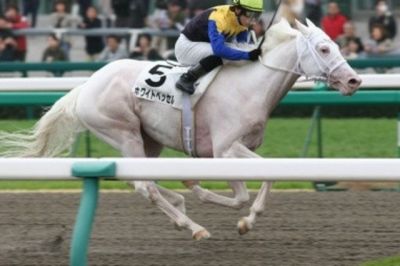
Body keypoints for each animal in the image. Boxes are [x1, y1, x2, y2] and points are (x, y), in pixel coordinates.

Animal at [0, 18, 362, 239]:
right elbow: (251, 189)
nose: (354, 80)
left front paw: (205, 193)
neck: (250, 86)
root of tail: (86, 85)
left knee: (142, 182)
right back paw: (193, 226)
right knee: (143, 185)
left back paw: (178, 204)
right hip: (123, 132)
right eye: (325, 48)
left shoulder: (234, 151)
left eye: (336, 45)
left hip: (149, 139)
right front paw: (240, 216)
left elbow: (246, 192)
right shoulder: (225, 149)